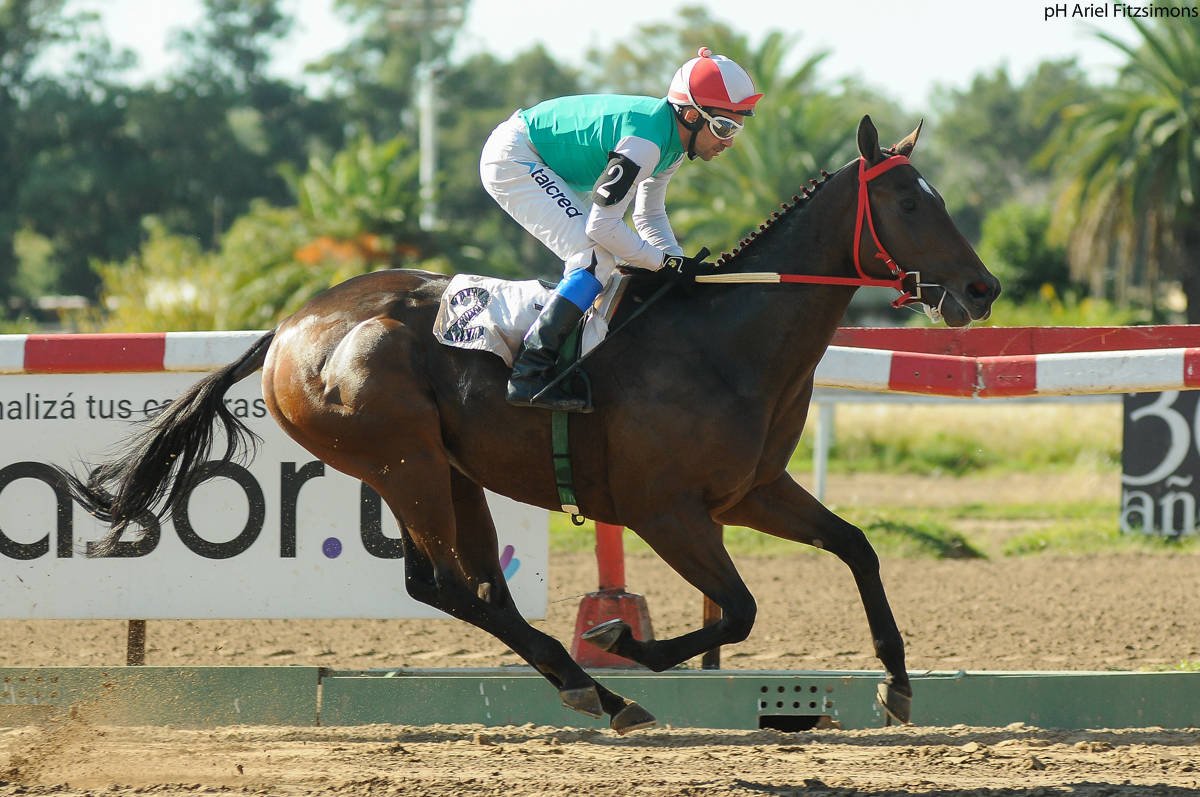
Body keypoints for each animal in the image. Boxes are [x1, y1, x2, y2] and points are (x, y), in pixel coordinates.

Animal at [64, 116, 999, 734]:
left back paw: (588, 686)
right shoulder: (665, 510)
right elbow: (737, 610)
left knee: (473, 588)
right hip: (401, 462)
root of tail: (293, 324)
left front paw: (897, 683)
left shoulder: (751, 492)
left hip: (445, 473)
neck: (726, 339)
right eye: (911, 205)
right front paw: (621, 636)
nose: (982, 288)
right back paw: (602, 689)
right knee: (446, 586)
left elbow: (857, 547)